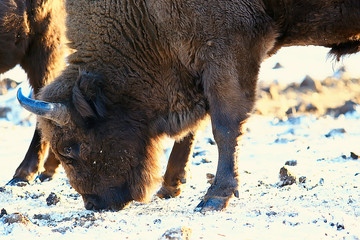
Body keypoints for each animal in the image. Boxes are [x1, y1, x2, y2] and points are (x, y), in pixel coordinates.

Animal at [18, 0, 360, 212]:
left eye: (70, 149)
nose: (94, 204)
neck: (143, 16)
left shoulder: (227, 51)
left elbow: (224, 126)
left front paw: (215, 197)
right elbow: (194, 128)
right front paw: (170, 187)